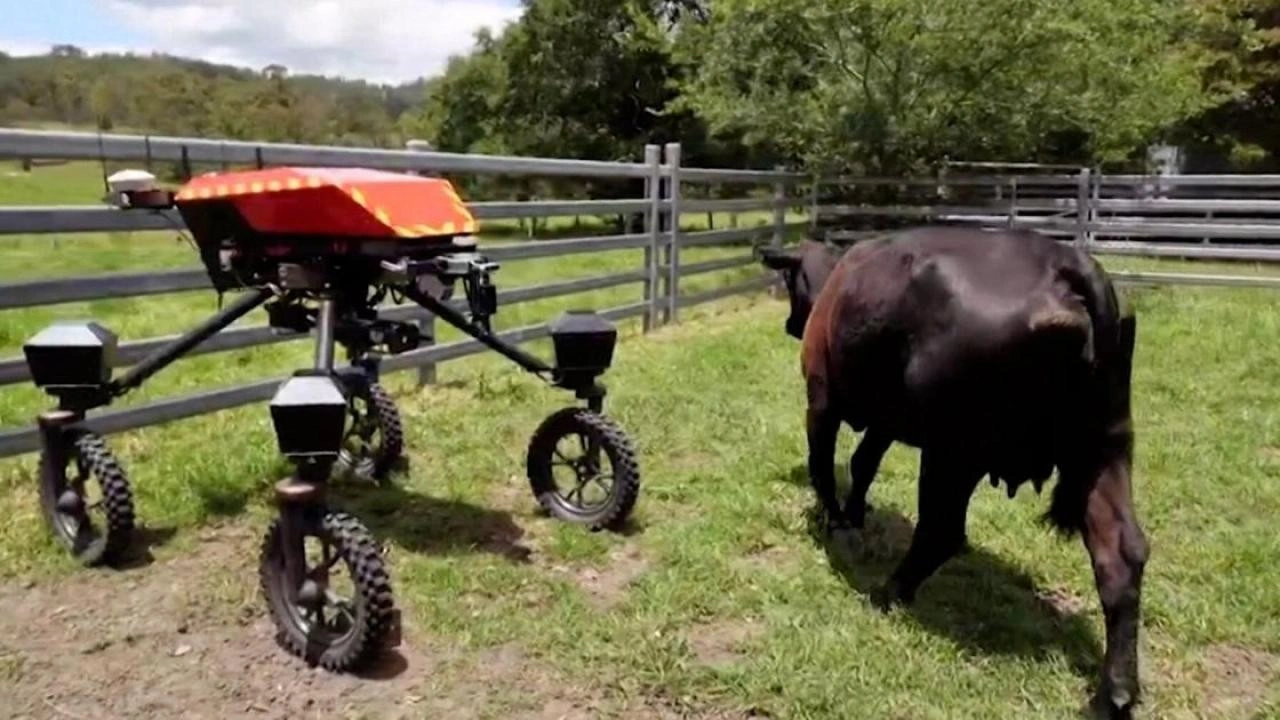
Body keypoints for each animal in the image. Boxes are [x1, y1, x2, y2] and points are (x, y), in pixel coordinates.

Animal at [757, 225, 1152, 717]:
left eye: (789, 283)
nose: (790, 325)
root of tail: (1064, 264)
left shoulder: (821, 400)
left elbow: (824, 466)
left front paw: (835, 521)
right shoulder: (885, 422)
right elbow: (863, 464)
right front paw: (855, 514)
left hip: (952, 452)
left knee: (940, 531)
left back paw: (889, 592)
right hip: (1103, 450)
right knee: (1122, 553)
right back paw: (1115, 690)